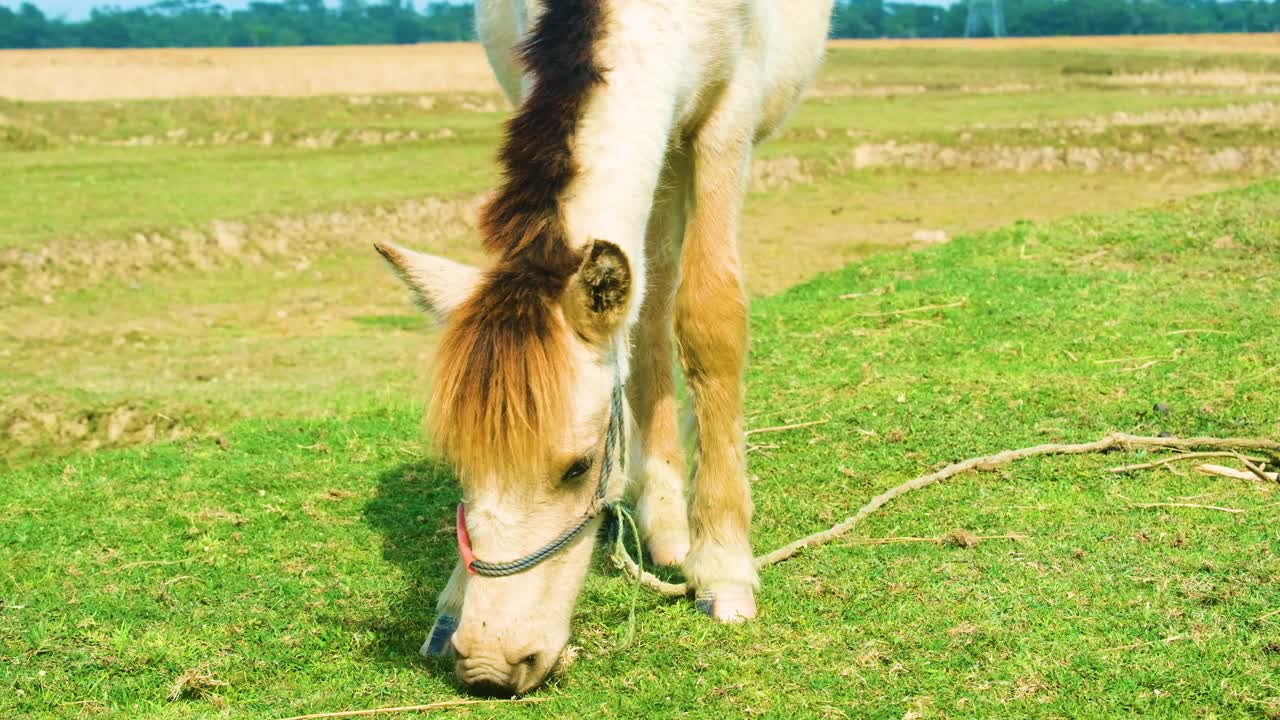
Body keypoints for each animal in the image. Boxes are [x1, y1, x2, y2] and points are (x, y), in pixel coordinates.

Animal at [376, 0, 834, 696]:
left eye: (577, 467)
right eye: (457, 463)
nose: (489, 665)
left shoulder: (729, 112)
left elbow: (710, 315)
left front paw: (724, 567)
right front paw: (455, 599)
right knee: (648, 293)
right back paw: (667, 520)